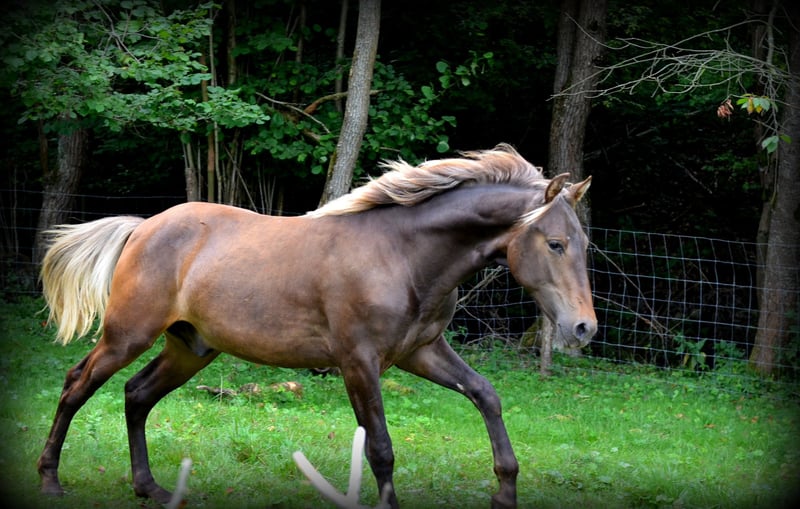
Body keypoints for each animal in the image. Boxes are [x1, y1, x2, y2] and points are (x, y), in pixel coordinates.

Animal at [37, 144, 596, 509]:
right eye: (555, 244)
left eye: (584, 243)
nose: (584, 328)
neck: (402, 254)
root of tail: (143, 228)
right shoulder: (358, 363)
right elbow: (380, 448)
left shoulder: (422, 352)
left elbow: (485, 394)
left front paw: (506, 489)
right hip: (126, 335)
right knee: (76, 385)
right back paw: (50, 479)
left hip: (190, 349)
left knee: (136, 394)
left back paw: (149, 487)